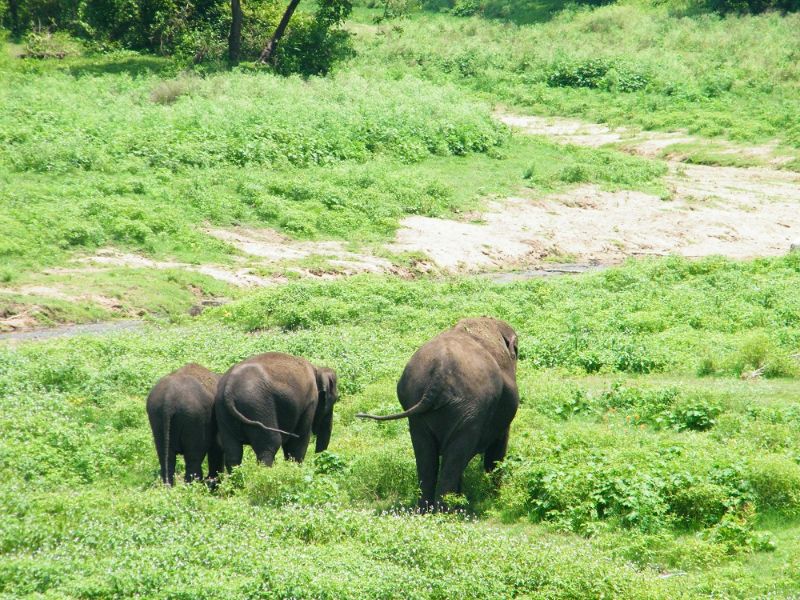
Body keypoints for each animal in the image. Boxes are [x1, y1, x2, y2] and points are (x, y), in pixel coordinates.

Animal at [356, 316, 520, 508]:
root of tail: (440, 373)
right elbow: (499, 446)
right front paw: (496, 498)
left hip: (418, 407)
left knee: (426, 457)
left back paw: (426, 510)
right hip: (469, 410)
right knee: (455, 458)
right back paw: (447, 511)